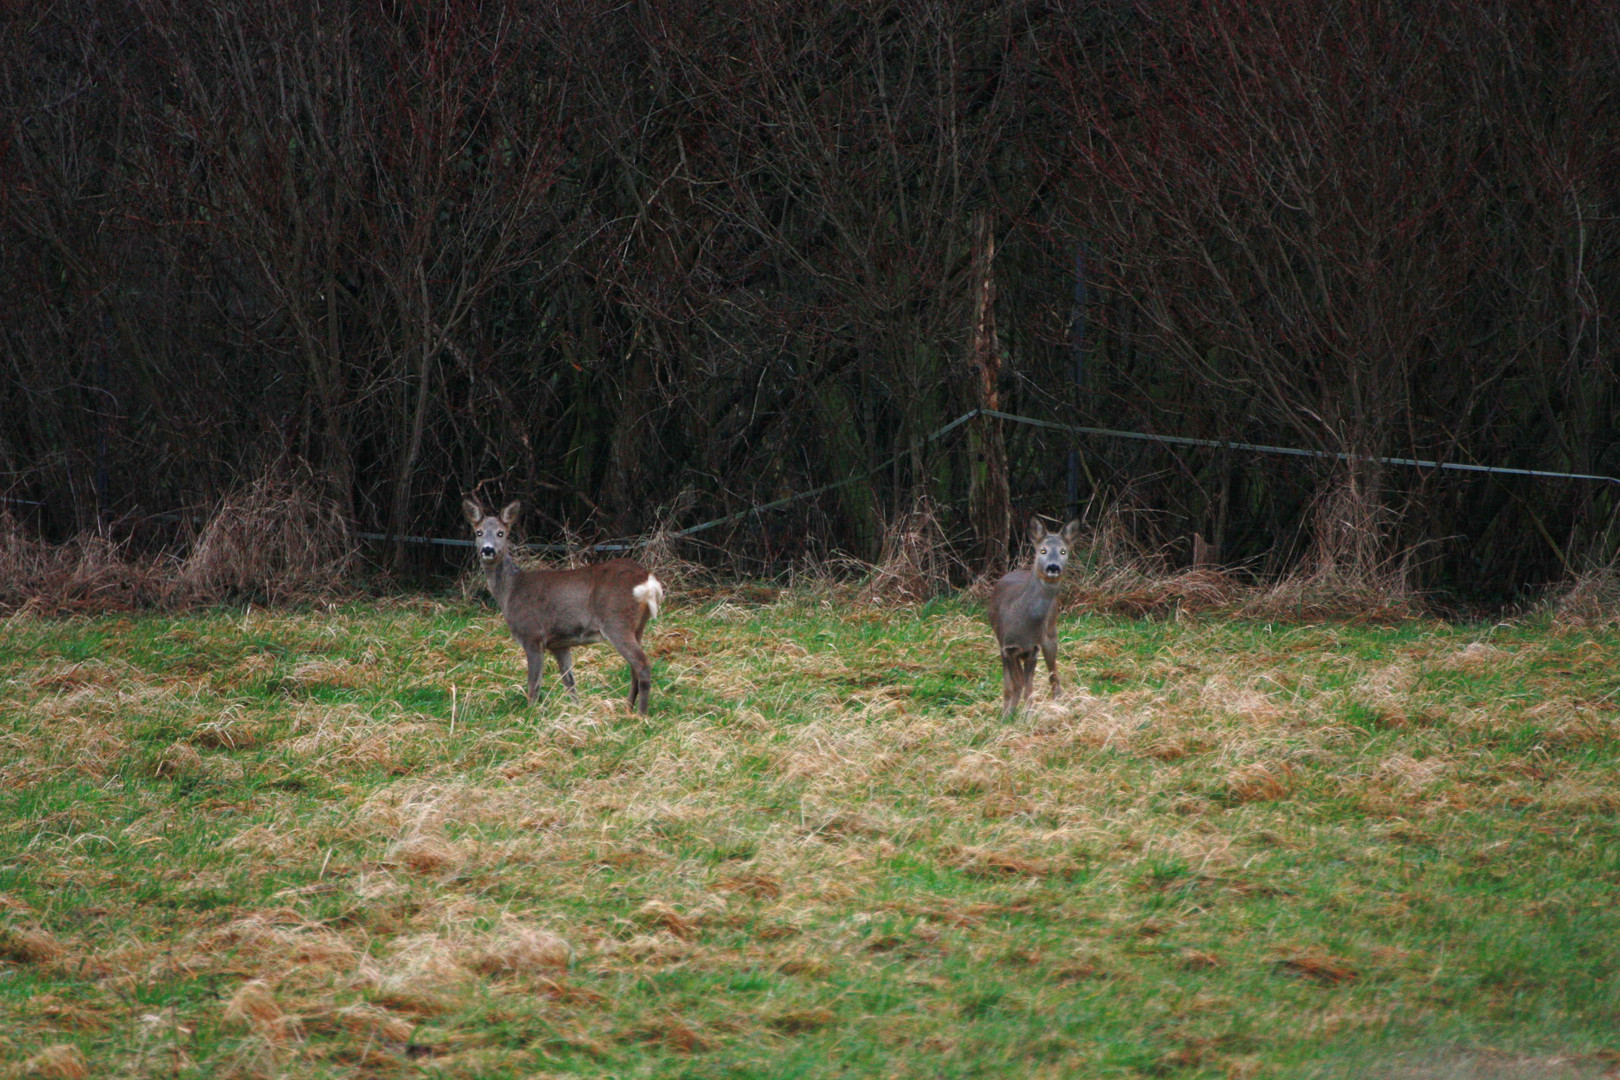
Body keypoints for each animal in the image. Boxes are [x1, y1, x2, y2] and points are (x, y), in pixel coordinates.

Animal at [463, 501, 664, 718]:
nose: (488, 550)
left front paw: (530, 714)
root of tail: (647, 580)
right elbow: (569, 681)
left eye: (501, 533)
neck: (511, 591)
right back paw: (627, 709)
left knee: (642, 664)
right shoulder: (559, 643)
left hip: (616, 621)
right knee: (634, 667)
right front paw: (577, 711)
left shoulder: (532, 635)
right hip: (637, 626)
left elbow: (534, 683)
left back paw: (641, 715)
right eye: (479, 532)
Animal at [984, 514, 1075, 718]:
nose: (1053, 567)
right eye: (1043, 550)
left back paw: (1059, 702)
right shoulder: (1007, 647)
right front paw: (1007, 715)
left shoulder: (1033, 649)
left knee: (1053, 673)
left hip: (1051, 633)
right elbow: (1013, 685)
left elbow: (1028, 687)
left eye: (1063, 551)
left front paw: (1028, 715)